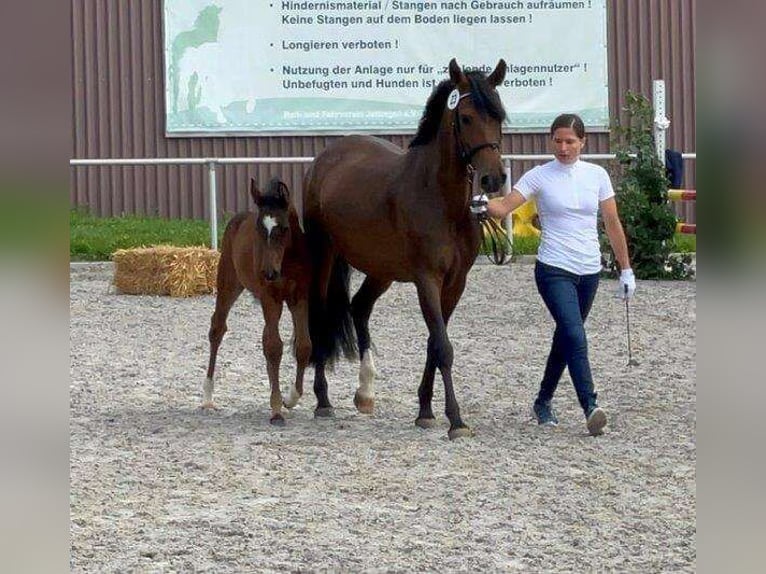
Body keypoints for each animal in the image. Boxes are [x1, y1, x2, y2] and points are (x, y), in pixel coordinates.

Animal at [206, 178, 314, 426]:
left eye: (284, 228)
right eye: (259, 229)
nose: (268, 273)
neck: (287, 262)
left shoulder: (299, 297)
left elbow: (303, 346)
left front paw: (289, 398)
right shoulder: (270, 298)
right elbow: (275, 347)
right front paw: (276, 409)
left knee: (265, 338)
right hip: (229, 285)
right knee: (217, 329)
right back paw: (207, 395)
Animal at [302, 58, 510, 438]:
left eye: (498, 115)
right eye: (466, 117)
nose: (494, 179)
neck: (442, 200)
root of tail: (327, 157)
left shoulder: (455, 283)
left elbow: (434, 342)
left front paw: (426, 411)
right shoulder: (427, 279)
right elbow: (443, 346)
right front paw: (456, 420)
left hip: (380, 269)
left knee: (359, 308)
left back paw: (365, 393)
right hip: (323, 256)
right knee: (321, 314)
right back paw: (323, 401)